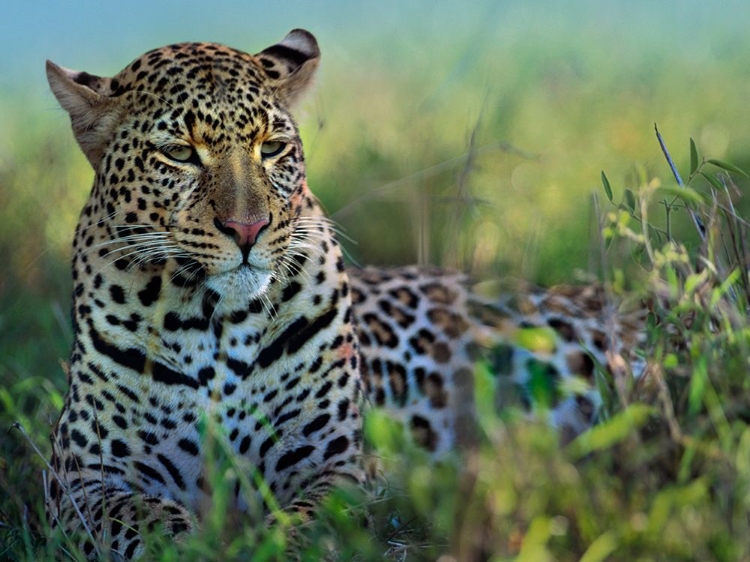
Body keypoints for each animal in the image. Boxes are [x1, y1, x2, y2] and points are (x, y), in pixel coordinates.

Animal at [45, 27, 648, 556]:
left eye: (273, 148)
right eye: (179, 153)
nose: (248, 228)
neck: (215, 320)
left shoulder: (338, 466)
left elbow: (308, 527)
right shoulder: (81, 478)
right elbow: (145, 523)